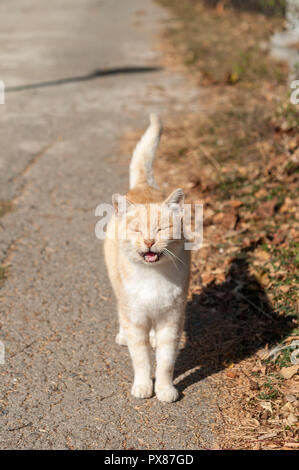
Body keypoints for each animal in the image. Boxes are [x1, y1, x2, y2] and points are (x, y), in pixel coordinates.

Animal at [104, 115, 191, 402]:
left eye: (161, 229)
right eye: (138, 230)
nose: (150, 242)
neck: (153, 278)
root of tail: (143, 185)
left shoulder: (171, 321)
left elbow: (165, 362)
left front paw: (165, 389)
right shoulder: (136, 319)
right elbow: (141, 359)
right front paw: (143, 386)